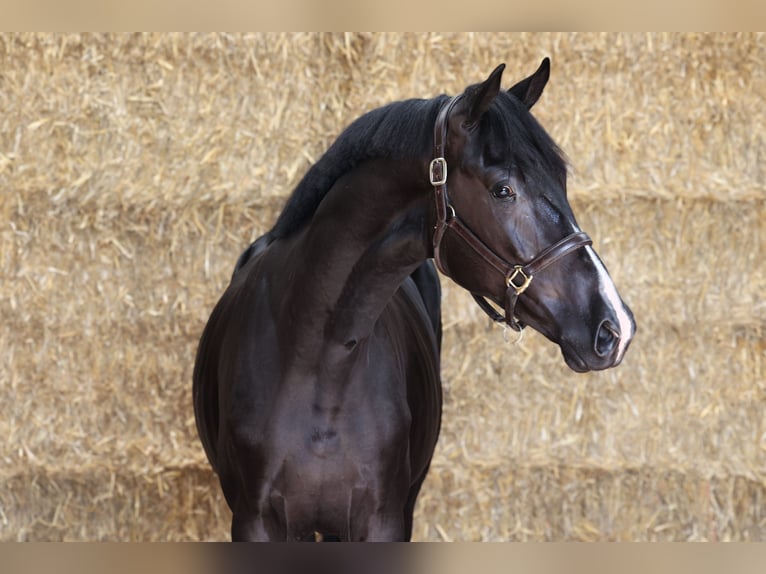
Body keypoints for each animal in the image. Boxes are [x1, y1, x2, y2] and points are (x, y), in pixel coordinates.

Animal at [194, 60, 636, 544]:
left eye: (562, 180)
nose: (614, 326)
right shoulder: (255, 523)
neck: (316, 359)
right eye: (503, 190)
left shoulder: (384, 521)